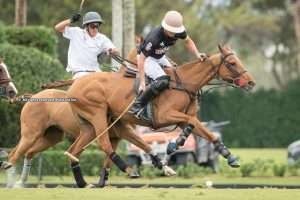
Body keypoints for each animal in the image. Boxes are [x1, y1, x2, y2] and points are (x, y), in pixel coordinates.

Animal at [65, 44, 255, 176]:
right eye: (232, 63)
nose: (251, 82)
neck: (183, 83)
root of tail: (75, 85)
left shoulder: (181, 118)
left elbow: (205, 132)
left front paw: (230, 157)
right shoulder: (164, 116)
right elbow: (192, 122)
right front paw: (173, 145)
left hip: (94, 124)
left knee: (73, 151)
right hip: (98, 116)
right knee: (104, 143)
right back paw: (130, 170)